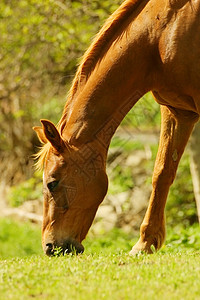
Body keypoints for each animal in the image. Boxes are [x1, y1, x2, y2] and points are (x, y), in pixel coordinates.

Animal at [33, 0, 200, 256]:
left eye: (52, 183)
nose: (50, 247)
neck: (160, 33)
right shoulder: (178, 111)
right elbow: (162, 173)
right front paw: (144, 243)